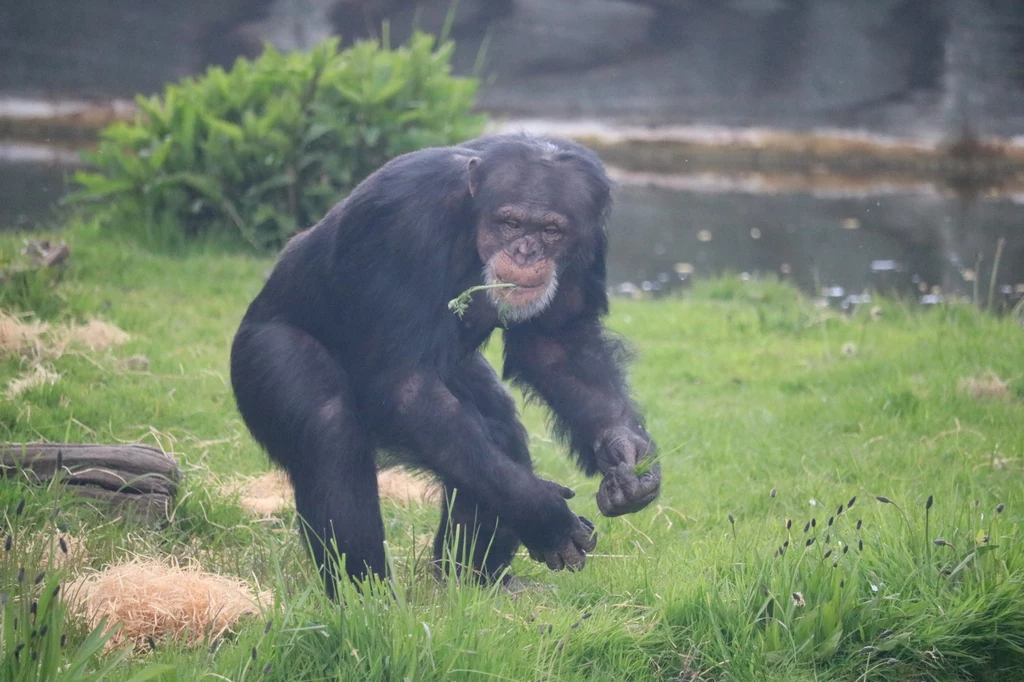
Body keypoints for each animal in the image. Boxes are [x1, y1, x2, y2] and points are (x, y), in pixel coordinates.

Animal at [231, 131, 659, 589]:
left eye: (551, 230)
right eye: (511, 223)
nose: (526, 252)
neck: (471, 218)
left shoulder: (590, 237)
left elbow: (558, 343)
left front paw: (627, 452)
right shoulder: (405, 219)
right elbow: (406, 386)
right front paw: (544, 513)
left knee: (491, 432)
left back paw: (473, 579)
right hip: (261, 354)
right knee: (328, 429)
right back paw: (366, 592)